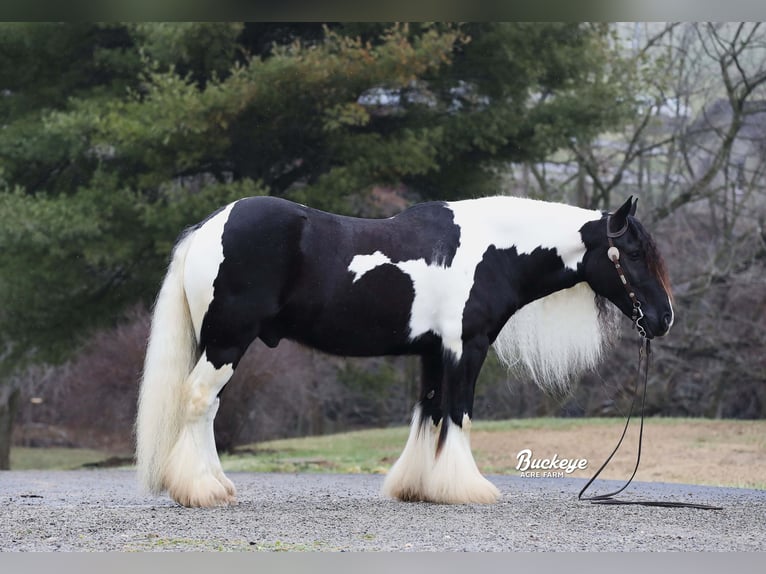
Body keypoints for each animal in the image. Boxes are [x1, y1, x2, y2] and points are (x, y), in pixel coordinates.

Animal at [135, 195, 676, 508]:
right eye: (631, 254)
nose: (664, 319)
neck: (493, 249)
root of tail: (208, 228)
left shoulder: (433, 352)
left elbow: (430, 413)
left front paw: (420, 488)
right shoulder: (466, 348)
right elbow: (458, 415)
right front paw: (466, 489)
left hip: (220, 344)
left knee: (207, 408)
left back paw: (214, 486)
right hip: (227, 342)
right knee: (199, 402)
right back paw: (203, 491)